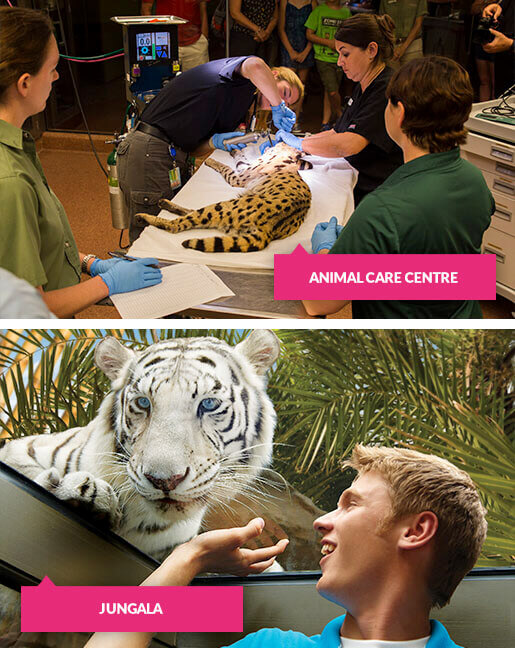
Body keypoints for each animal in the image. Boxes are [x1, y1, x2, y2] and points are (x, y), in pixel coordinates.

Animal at [0, 332, 280, 560]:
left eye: (209, 403)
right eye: (143, 402)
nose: (163, 481)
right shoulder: (23, 448)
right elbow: (27, 469)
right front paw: (85, 493)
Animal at [137, 142, 312, 253]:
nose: (271, 144)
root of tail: (268, 231)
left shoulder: (239, 177)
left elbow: (226, 166)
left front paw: (212, 160)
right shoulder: (243, 171)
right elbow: (240, 159)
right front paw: (235, 150)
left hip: (222, 207)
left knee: (177, 225)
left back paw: (145, 217)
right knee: (191, 214)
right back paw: (166, 204)